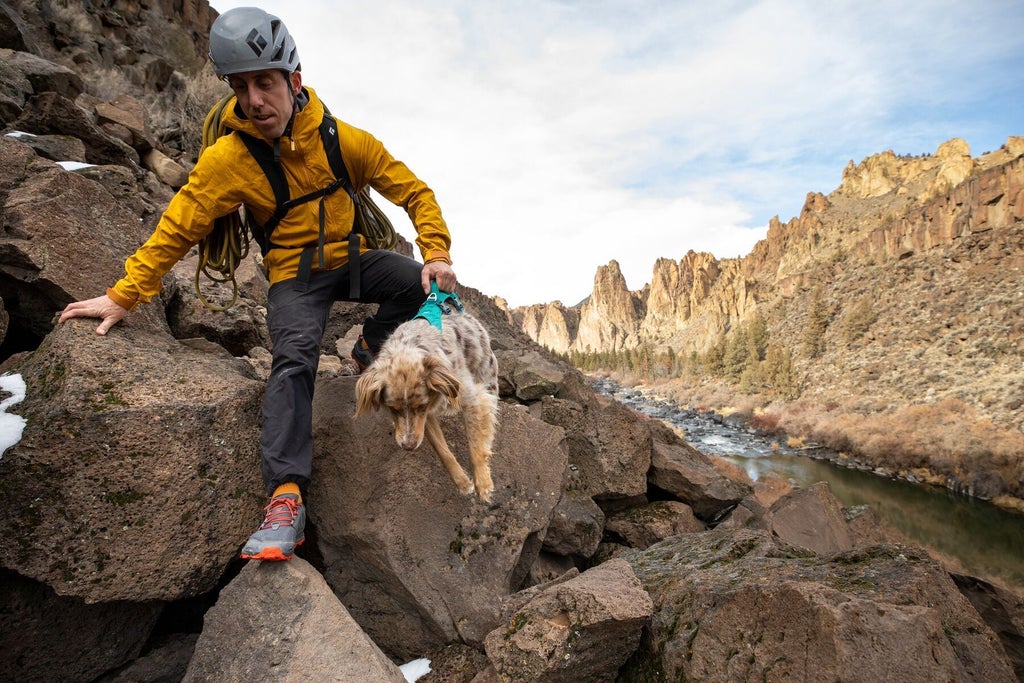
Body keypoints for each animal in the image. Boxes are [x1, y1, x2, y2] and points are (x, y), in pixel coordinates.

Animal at [354, 305, 501, 501]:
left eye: (421, 406)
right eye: (392, 408)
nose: (408, 447)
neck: (407, 348)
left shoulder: (470, 399)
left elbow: (476, 444)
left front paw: (483, 483)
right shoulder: (425, 419)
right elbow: (442, 450)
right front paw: (462, 482)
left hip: (486, 374)